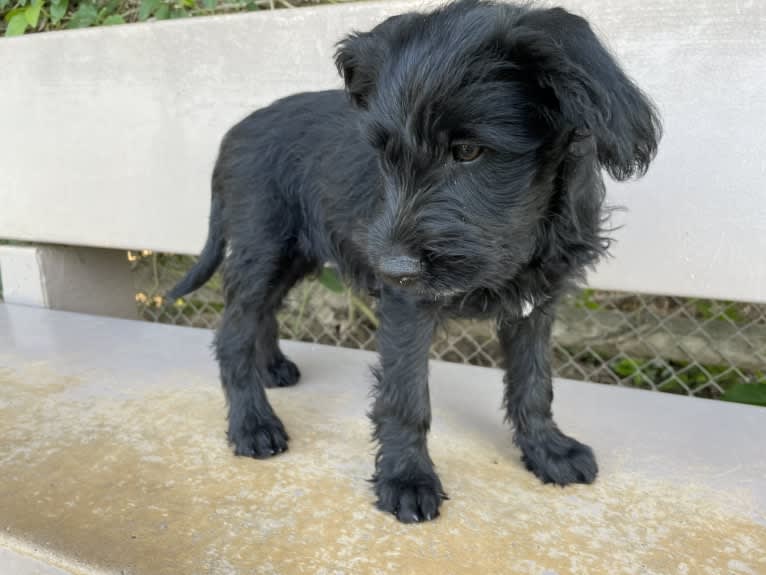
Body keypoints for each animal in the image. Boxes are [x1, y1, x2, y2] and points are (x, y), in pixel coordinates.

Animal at [168, 0, 660, 524]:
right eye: (383, 153)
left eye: (468, 151)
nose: (391, 268)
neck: (529, 231)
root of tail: (231, 134)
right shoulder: (408, 306)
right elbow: (406, 397)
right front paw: (407, 478)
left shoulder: (535, 305)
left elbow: (534, 384)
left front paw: (548, 450)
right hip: (264, 247)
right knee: (233, 332)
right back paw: (253, 424)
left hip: (292, 255)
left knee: (262, 313)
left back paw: (272, 369)